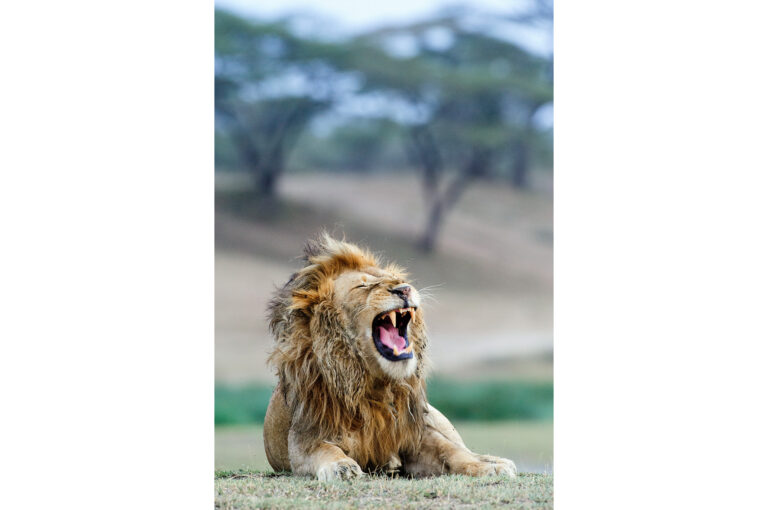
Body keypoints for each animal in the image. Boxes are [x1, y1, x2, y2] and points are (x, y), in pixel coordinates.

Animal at [260, 233, 520, 480]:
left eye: (395, 279)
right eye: (361, 287)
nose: (404, 288)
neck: (375, 384)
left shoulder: (416, 434)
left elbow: (451, 451)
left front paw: (488, 468)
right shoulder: (306, 438)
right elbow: (325, 450)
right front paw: (342, 467)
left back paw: (497, 461)